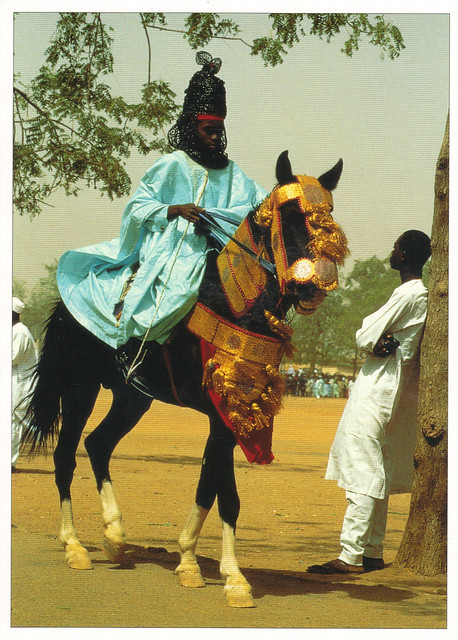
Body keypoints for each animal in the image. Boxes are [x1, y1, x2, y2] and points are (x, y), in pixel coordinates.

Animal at [19, 150, 346, 604]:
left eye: (329, 215)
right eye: (290, 215)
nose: (314, 286)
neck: (234, 304)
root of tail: (65, 306)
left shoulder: (232, 416)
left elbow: (213, 488)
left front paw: (195, 562)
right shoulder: (221, 410)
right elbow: (223, 493)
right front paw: (230, 577)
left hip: (132, 396)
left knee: (98, 444)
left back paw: (115, 537)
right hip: (79, 388)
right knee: (66, 455)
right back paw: (75, 546)